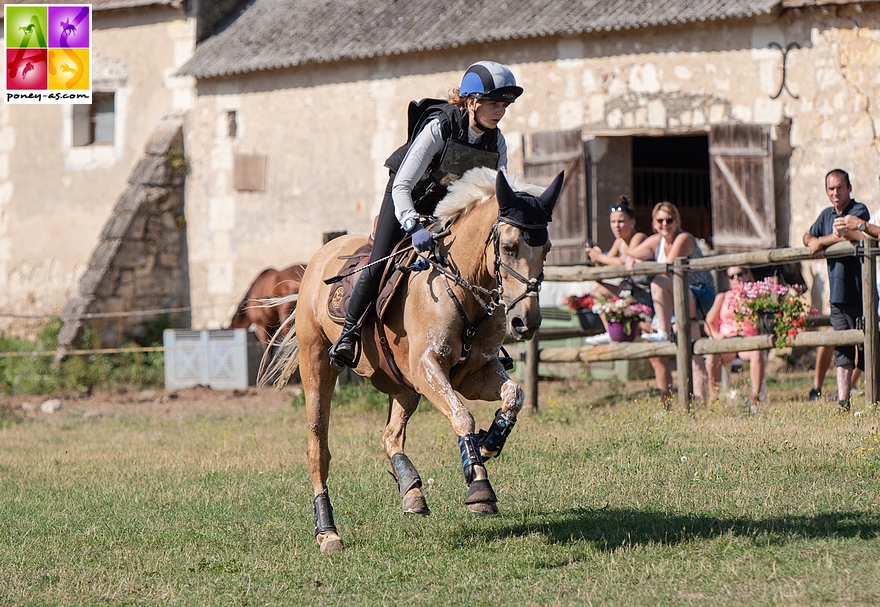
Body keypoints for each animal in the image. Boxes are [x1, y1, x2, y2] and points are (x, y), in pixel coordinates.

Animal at [262, 167, 564, 556]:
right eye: (510, 247)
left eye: (547, 248)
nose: (526, 322)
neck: (462, 286)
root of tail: (319, 256)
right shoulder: (428, 370)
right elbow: (462, 416)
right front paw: (479, 486)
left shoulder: (474, 373)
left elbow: (514, 395)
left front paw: (489, 443)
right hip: (317, 363)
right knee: (319, 449)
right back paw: (327, 531)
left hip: (403, 384)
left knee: (390, 436)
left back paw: (412, 490)